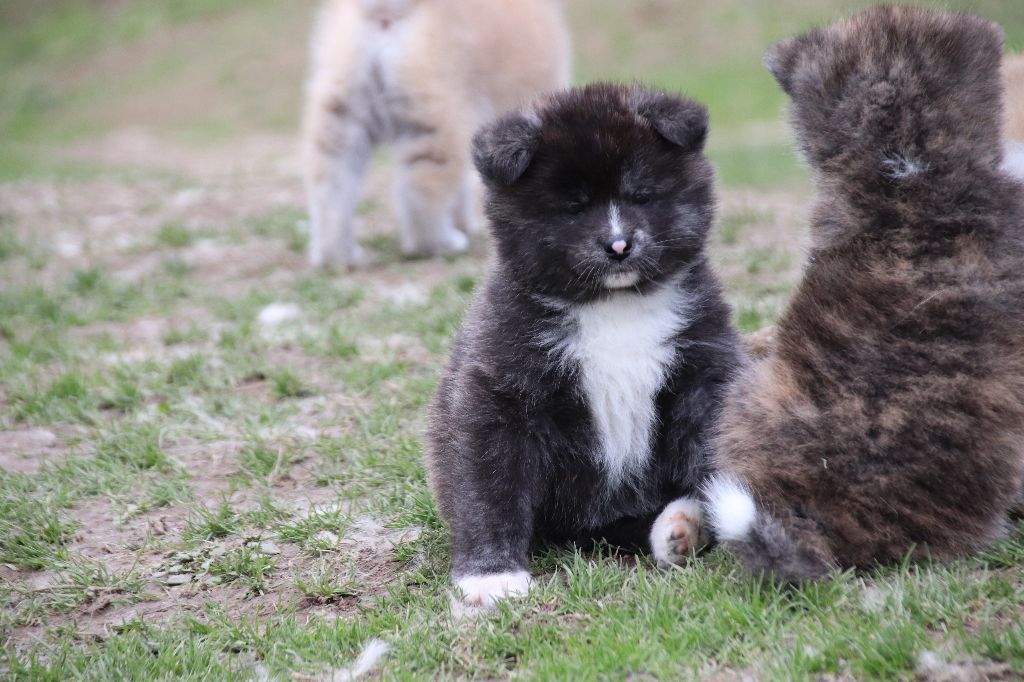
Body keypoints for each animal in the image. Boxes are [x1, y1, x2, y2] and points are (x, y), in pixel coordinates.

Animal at [302, 0, 570, 268]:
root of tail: (385, 11)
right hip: (435, 118)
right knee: (422, 192)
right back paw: (441, 244)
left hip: (340, 117)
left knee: (330, 190)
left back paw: (338, 257)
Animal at [425, 83, 743, 606]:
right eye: (572, 206)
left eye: (641, 195)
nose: (618, 246)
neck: (614, 308)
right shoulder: (500, 395)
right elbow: (490, 488)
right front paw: (491, 574)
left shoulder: (702, 375)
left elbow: (711, 451)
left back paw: (683, 525)